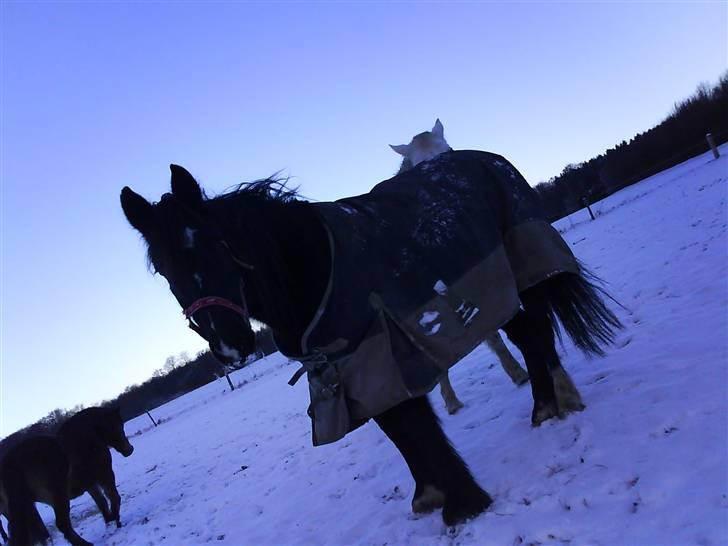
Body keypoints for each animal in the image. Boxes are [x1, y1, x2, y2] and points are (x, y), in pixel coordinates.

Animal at [120, 150, 622, 525]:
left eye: (213, 243)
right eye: (163, 268)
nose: (228, 347)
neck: (307, 268)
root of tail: (488, 160)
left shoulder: (381, 347)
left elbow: (413, 422)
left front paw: (463, 504)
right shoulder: (343, 366)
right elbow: (396, 428)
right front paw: (430, 495)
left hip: (517, 267)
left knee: (533, 334)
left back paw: (546, 408)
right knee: (529, 334)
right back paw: (555, 402)